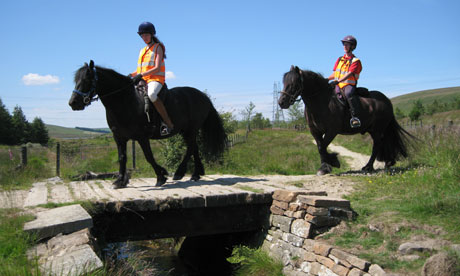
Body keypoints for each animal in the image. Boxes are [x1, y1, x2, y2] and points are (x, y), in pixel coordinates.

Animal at [68, 61, 226, 188]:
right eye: (76, 80)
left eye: (87, 79)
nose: (73, 103)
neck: (125, 101)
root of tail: (203, 96)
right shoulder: (119, 137)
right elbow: (122, 157)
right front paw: (120, 181)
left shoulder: (142, 137)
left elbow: (148, 156)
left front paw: (161, 176)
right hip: (185, 131)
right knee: (194, 148)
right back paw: (195, 174)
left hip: (191, 129)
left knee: (191, 148)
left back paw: (180, 172)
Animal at [280, 65, 414, 175]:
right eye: (284, 82)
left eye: (294, 83)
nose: (281, 102)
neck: (322, 101)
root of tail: (387, 100)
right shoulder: (315, 131)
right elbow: (320, 147)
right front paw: (324, 166)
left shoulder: (332, 131)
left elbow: (323, 147)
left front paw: (332, 162)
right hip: (374, 129)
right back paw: (387, 162)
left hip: (378, 129)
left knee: (377, 145)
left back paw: (369, 167)